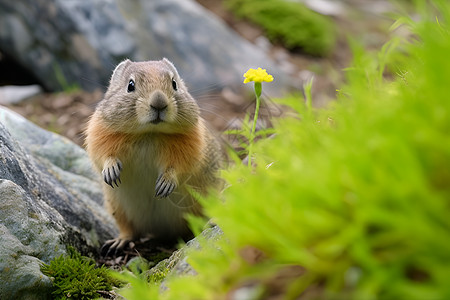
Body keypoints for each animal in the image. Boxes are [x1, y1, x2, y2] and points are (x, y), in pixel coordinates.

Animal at [84, 58, 221, 253]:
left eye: (174, 84)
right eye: (130, 85)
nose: (159, 102)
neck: (149, 133)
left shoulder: (190, 144)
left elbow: (177, 166)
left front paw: (165, 184)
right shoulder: (100, 134)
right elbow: (104, 155)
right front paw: (111, 171)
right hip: (118, 208)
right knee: (130, 231)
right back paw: (118, 243)